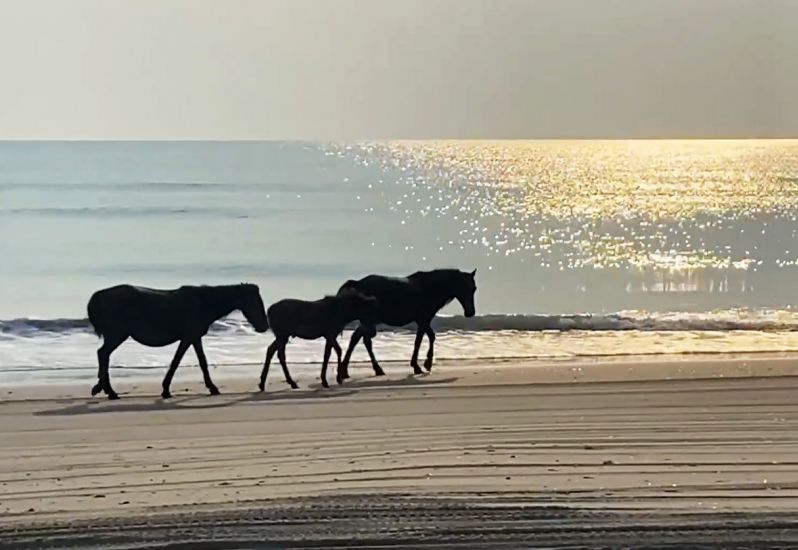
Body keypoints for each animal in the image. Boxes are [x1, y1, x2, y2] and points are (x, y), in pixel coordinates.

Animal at [87, 283, 270, 400]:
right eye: (254, 301)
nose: (264, 326)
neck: (203, 303)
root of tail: (100, 295)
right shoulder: (190, 337)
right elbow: (191, 362)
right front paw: (211, 388)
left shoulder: (191, 338)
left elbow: (188, 361)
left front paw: (166, 389)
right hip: (117, 335)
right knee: (103, 354)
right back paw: (109, 391)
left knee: (103, 355)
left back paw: (103, 388)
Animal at [337, 268, 477, 383]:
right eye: (464, 286)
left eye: (474, 288)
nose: (470, 312)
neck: (430, 288)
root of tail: (358, 283)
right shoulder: (423, 320)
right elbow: (420, 341)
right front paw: (420, 366)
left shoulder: (424, 321)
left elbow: (430, 337)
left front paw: (426, 364)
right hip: (369, 321)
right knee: (365, 340)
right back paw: (376, 369)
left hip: (368, 322)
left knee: (356, 338)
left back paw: (346, 371)